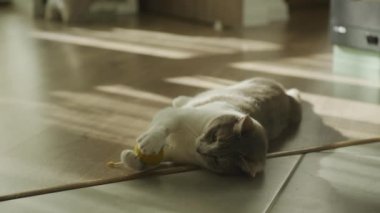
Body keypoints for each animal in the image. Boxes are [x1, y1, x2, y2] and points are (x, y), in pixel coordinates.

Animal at [120, 77, 302, 177]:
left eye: (216, 159)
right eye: (215, 136)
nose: (199, 149)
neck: (190, 141)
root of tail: (286, 96)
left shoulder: (174, 154)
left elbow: (151, 162)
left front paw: (132, 158)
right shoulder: (176, 116)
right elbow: (163, 128)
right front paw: (149, 143)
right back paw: (179, 99)